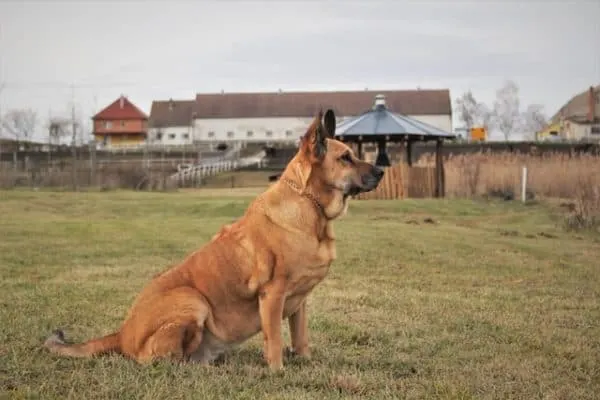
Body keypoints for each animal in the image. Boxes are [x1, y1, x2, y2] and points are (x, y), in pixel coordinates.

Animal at [43, 108, 384, 370]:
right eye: (345, 158)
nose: (381, 171)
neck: (309, 207)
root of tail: (122, 334)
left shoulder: (299, 302)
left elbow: (301, 339)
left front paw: (304, 363)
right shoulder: (272, 295)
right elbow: (274, 339)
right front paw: (277, 371)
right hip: (193, 301)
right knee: (159, 360)